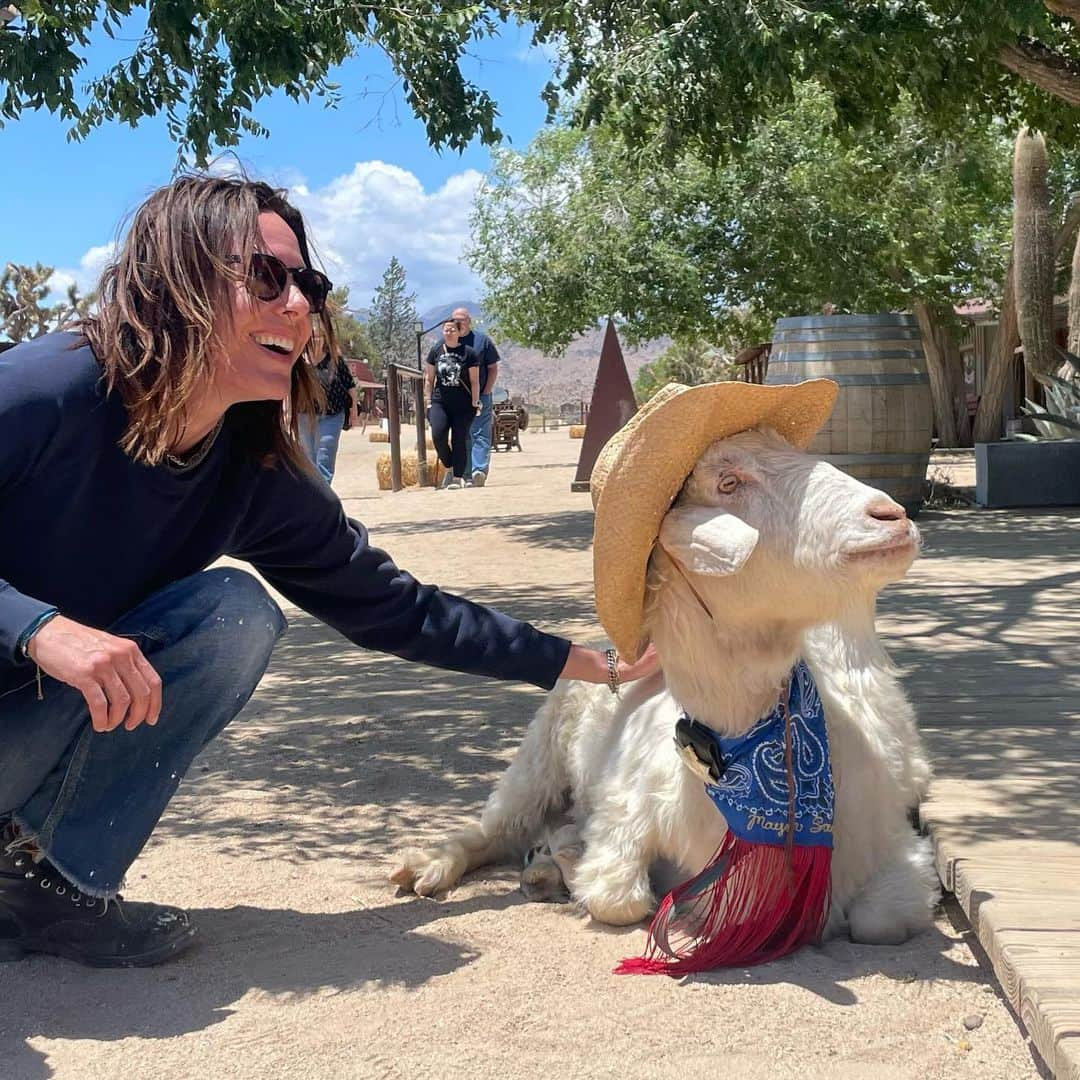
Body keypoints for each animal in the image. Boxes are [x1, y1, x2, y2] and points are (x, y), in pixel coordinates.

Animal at [393, 425, 941, 950]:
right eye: (728, 483)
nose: (890, 515)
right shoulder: (622, 813)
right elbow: (618, 897)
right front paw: (576, 861)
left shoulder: (896, 844)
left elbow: (879, 921)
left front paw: (563, 859)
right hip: (540, 755)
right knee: (497, 827)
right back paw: (433, 865)